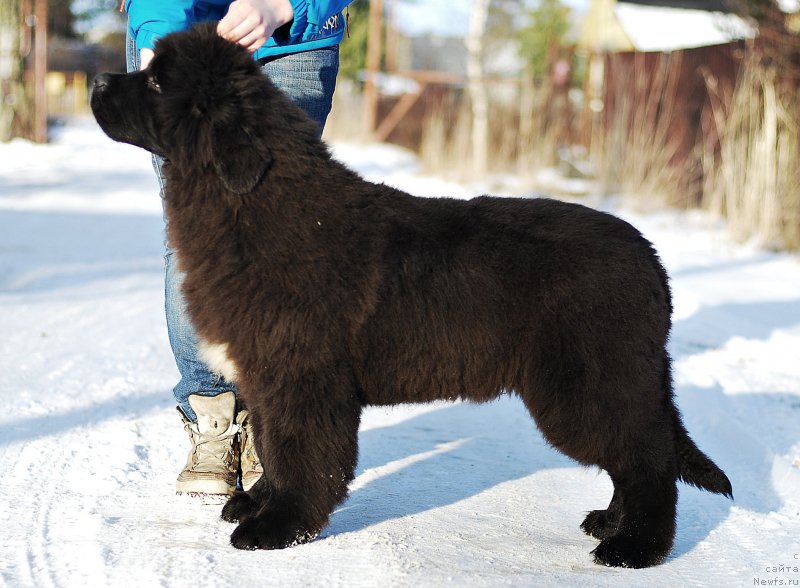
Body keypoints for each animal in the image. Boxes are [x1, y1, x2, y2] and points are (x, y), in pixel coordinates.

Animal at [92, 24, 732, 568]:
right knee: (639, 454)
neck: (256, 205)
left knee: (647, 460)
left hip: (588, 385)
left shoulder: (302, 375)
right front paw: (259, 501)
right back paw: (610, 522)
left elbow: (298, 452)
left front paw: (278, 527)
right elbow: (272, 445)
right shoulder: (269, 374)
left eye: (156, 81)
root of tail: (651, 261)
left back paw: (635, 548)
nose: (98, 81)